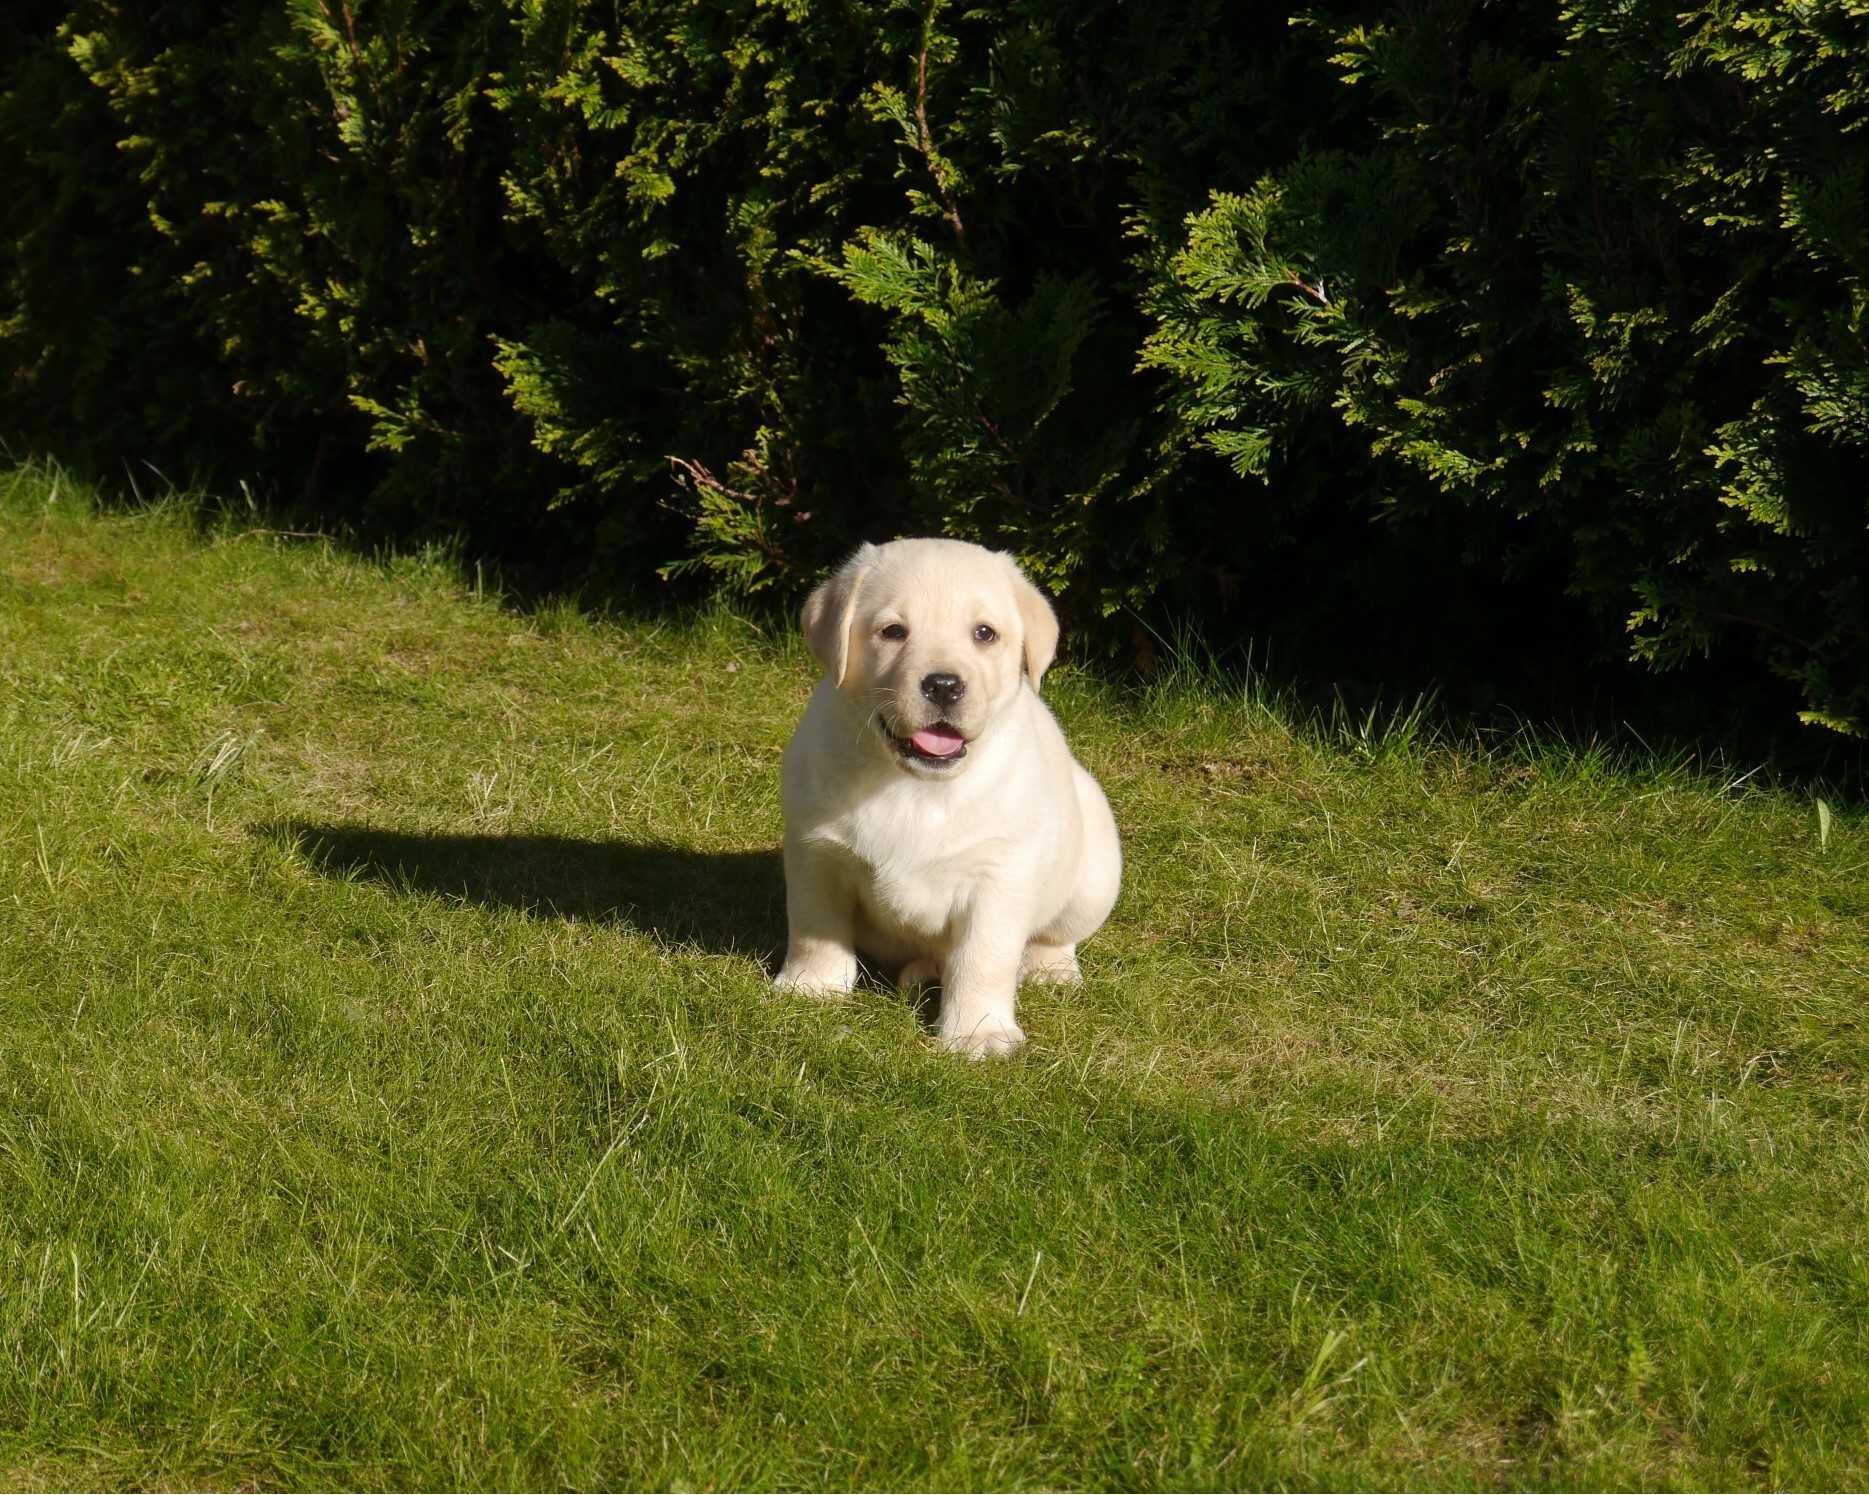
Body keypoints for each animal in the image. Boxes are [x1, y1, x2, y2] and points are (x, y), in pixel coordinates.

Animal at [777, 538, 1121, 1053]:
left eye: (984, 633)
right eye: (893, 631)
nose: (943, 684)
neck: (917, 786)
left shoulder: (999, 878)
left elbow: (983, 959)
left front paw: (978, 1032)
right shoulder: (817, 853)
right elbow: (816, 929)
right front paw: (812, 987)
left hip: (1095, 872)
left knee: (1057, 935)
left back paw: (1049, 969)